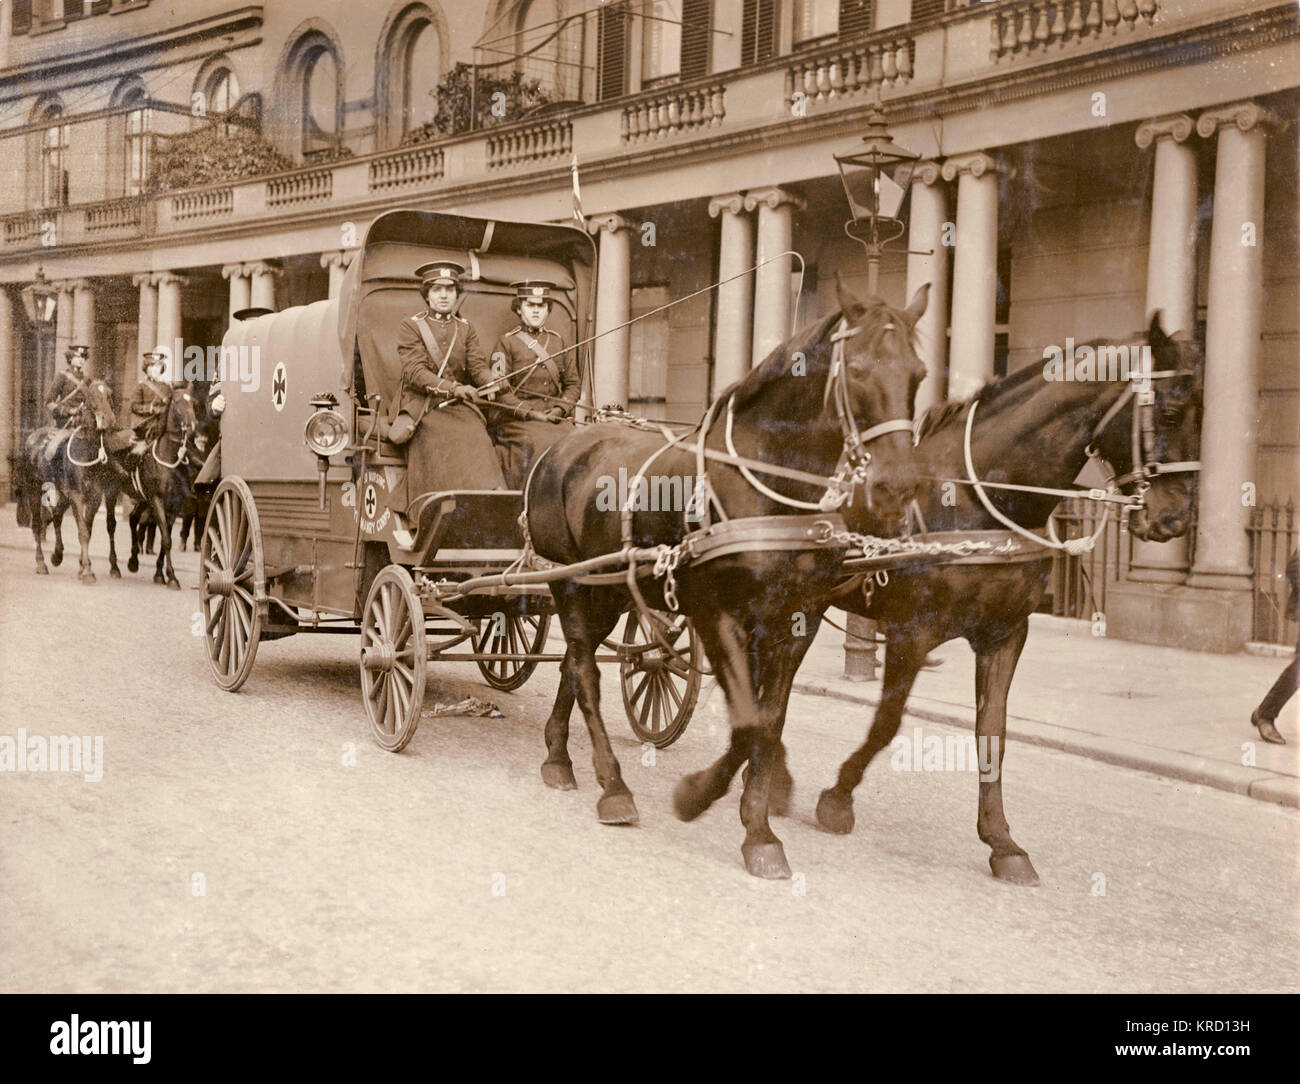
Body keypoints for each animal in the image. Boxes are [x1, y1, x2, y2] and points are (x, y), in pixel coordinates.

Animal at [19, 379, 126, 582]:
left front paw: (83, 566)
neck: (87, 452)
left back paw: (57, 555)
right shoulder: (76, 495)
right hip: (34, 490)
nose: (109, 420)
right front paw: (87, 572)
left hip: (62, 493)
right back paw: (41, 563)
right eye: (91, 396)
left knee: (56, 514)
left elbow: (87, 529)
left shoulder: (94, 498)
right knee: (37, 524)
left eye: (109, 394)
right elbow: (83, 531)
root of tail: (31, 438)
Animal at [522, 280, 930, 878]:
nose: (897, 485)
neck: (767, 484)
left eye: (918, 373)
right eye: (856, 370)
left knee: (577, 664)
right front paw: (697, 797)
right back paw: (613, 785)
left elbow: (768, 720)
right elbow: (748, 722)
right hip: (569, 581)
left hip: (611, 591)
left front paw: (758, 826)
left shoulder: (793, 623)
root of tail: (563, 446)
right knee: (585, 671)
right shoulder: (716, 615)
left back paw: (558, 755)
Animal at [806, 310, 1201, 878]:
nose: (1175, 519)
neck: (977, 497)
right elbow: (885, 724)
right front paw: (837, 798)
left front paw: (1002, 840)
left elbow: (992, 732)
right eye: (1168, 413)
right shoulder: (911, 631)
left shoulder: (1006, 634)